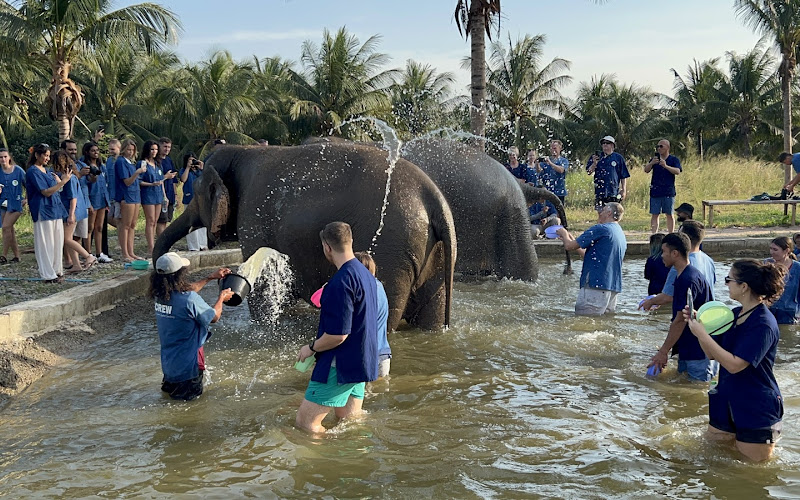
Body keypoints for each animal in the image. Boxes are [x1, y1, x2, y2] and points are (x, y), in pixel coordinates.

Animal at [153, 142, 456, 331]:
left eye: (197, 194)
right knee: (431, 310)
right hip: (432, 251)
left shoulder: (253, 215)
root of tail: (435, 198)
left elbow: (261, 284)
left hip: (392, 251)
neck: (242, 151)